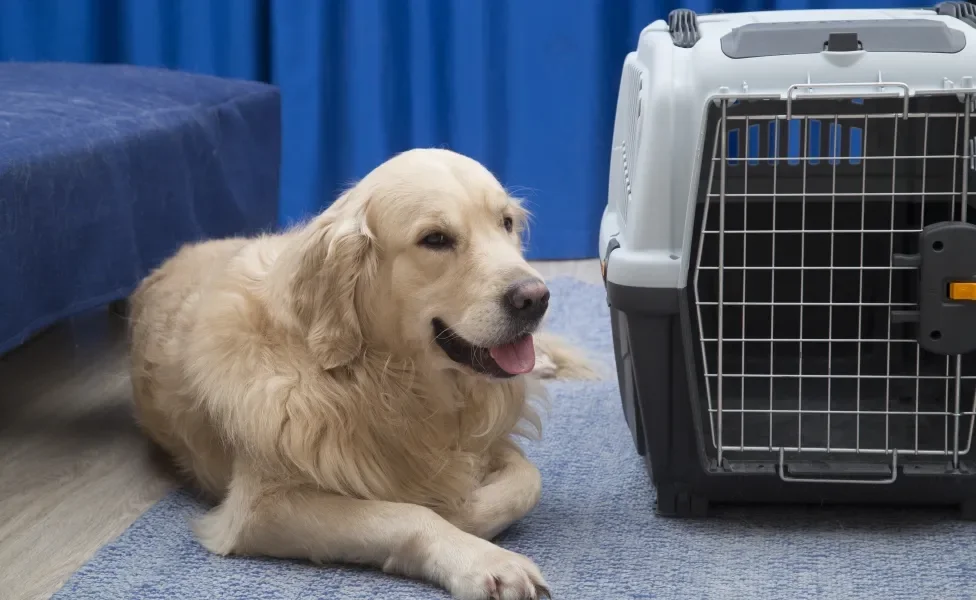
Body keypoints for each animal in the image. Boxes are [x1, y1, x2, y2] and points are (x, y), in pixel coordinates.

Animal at [127, 146, 596, 600]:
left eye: (506, 223)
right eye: (435, 239)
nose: (535, 298)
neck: (381, 378)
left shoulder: (485, 438)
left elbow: (527, 481)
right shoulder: (261, 507)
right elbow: (412, 515)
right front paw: (482, 558)